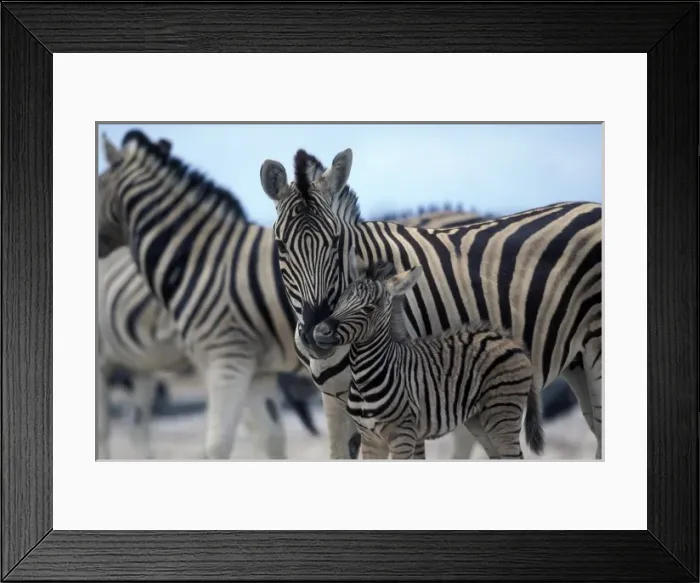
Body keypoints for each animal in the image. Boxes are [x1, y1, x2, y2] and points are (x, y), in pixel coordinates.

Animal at [312, 256, 545, 459]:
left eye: (369, 308)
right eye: (340, 301)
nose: (319, 332)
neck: (365, 378)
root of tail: (510, 340)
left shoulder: (402, 436)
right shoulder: (370, 438)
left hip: (502, 413)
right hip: (479, 420)